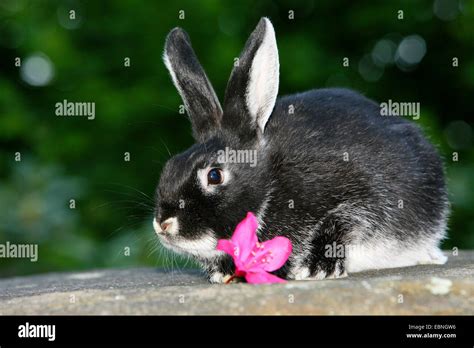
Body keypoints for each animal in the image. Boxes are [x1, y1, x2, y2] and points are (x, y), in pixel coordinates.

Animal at [154, 17, 450, 282]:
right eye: (169, 167)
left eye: (214, 175)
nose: (163, 223)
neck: (271, 183)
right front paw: (222, 274)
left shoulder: (365, 197)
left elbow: (343, 221)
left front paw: (317, 268)